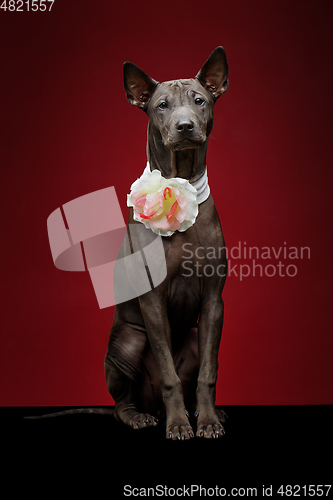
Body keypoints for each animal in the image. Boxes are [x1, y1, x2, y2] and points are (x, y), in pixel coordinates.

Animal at [104, 46, 228, 438]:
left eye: (199, 100)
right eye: (161, 105)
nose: (185, 126)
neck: (180, 183)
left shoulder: (214, 302)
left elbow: (208, 373)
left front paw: (207, 420)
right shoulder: (153, 301)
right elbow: (168, 375)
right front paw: (177, 425)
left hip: (193, 333)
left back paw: (206, 412)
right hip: (127, 343)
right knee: (123, 401)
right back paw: (142, 416)